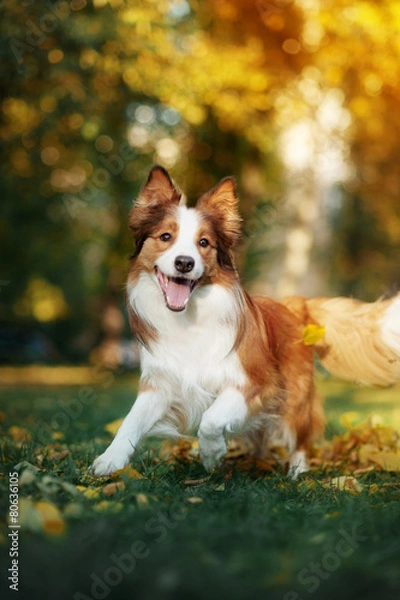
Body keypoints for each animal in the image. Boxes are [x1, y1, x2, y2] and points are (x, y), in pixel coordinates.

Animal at [92, 166, 400, 480]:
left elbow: (211, 419)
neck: (189, 318)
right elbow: (131, 420)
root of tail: (292, 305)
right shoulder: (160, 383)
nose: (184, 263)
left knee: (299, 438)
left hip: (295, 395)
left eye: (204, 243)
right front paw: (110, 460)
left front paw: (212, 454)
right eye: (165, 236)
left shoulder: (256, 382)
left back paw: (297, 473)